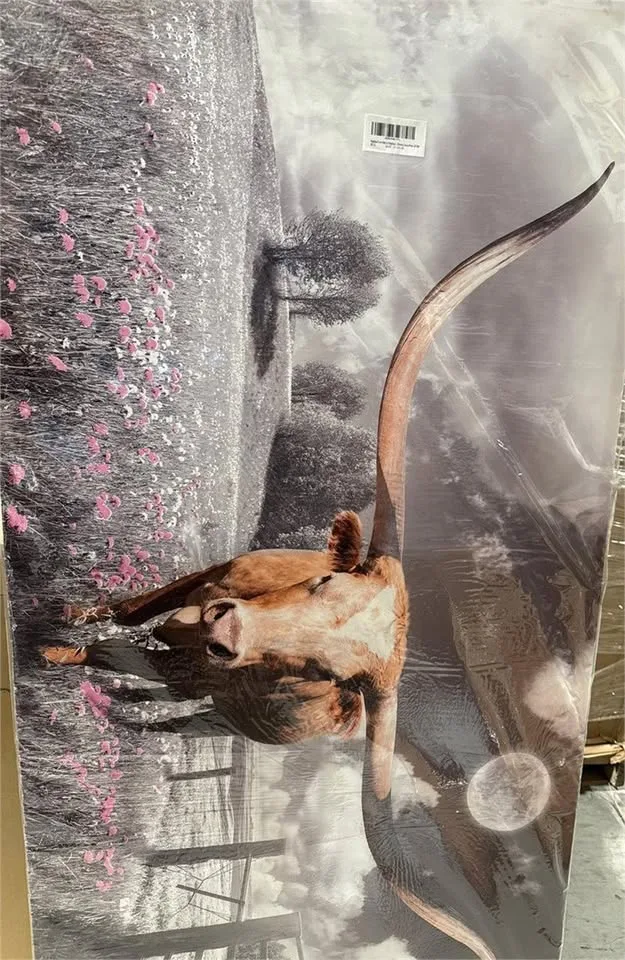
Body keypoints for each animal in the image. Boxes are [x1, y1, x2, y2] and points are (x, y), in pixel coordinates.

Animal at [42, 165, 613, 960]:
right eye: (320, 579)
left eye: (324, 672)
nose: (226, 632)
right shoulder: (202, 585)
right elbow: (125, 616)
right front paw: (61, 628)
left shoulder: (199, 667)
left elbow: (128, 661)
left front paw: (65, 661)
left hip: (216, 720)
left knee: (175, 720)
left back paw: (131, 718)